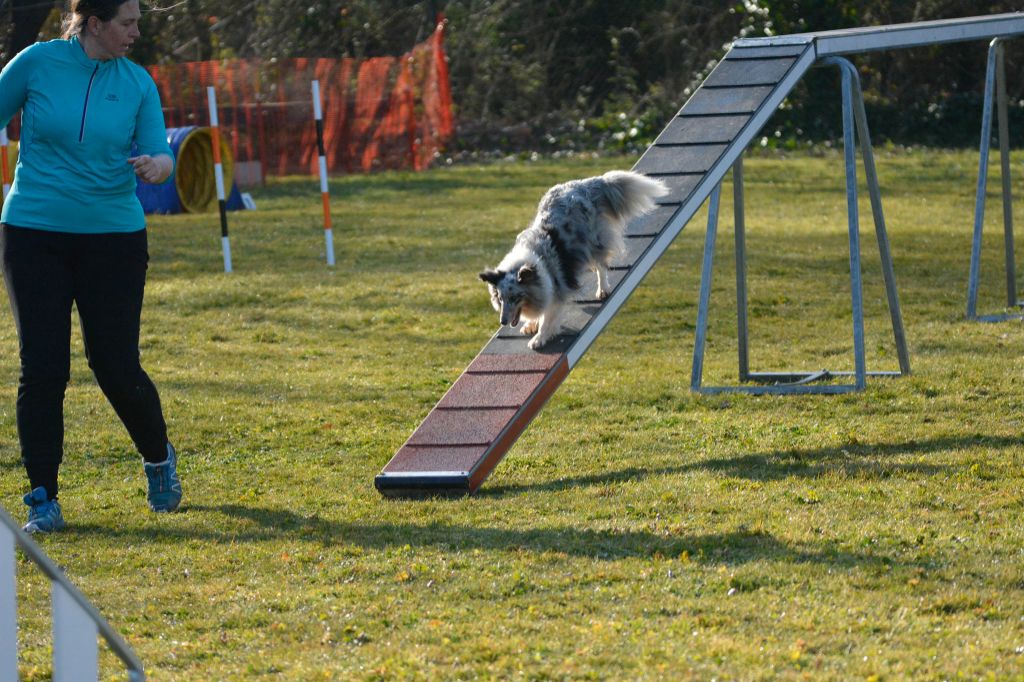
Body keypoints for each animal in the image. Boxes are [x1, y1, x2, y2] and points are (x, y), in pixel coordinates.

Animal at [481, 169, 671, 350]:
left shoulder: (555, 293)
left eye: (515, 297)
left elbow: (547, 320)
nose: (503, 321)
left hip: (593, 241)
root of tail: (584, 184)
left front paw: (538, 339)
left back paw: (602, 289)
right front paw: (530, 324)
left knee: (601, 265)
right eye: (500, 299)